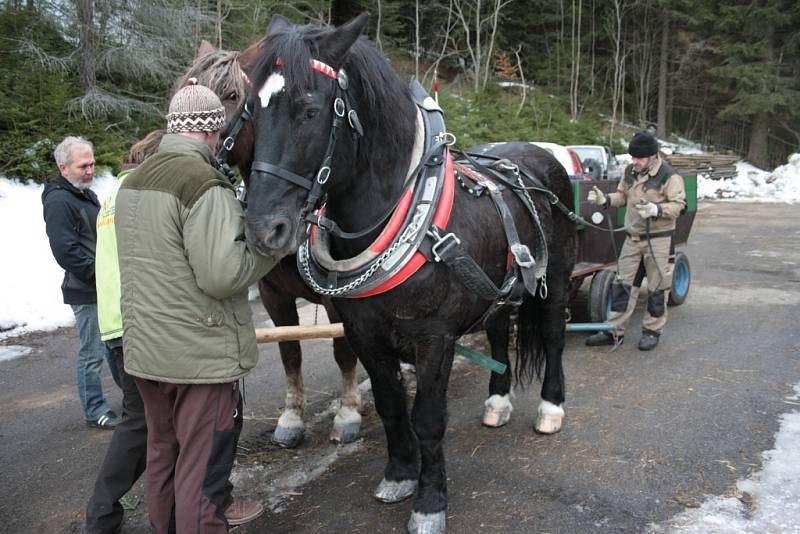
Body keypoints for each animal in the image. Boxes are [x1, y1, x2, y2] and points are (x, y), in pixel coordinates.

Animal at [244, 13, 576, 534]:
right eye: (251, 111)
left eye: (310, 111)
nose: (263, 229)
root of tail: (539, 157)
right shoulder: (364, 332)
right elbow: (389, 403)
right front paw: (399, 475)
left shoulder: (433, 339)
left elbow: (428, 419)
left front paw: (430, 502)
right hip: (500, 291)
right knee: (498, 334)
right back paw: (497, 403)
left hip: (556, 280)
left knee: (554, 337)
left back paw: (550, 408)